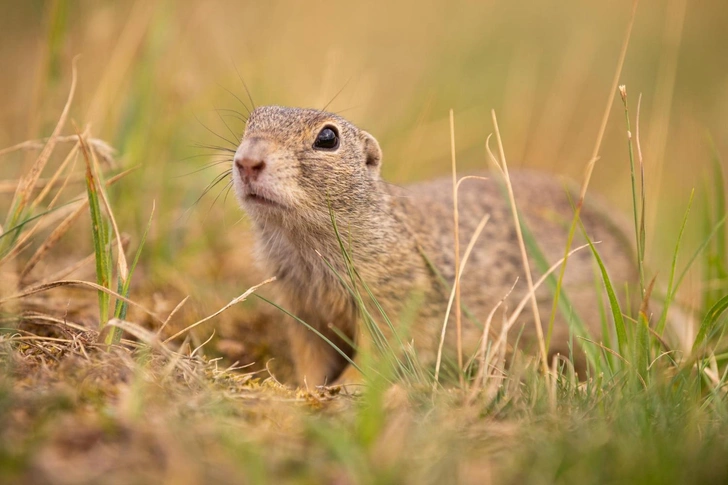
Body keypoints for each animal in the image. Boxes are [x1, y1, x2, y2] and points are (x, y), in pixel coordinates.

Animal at [233, 106, 636, 386]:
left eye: (328, 138)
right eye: (248, 124)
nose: (246, 161)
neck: (306, 245)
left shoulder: (394, 299)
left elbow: (376, 354)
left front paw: (345, 388)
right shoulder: (302, 307)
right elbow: (310, 355)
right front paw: (302, 387)